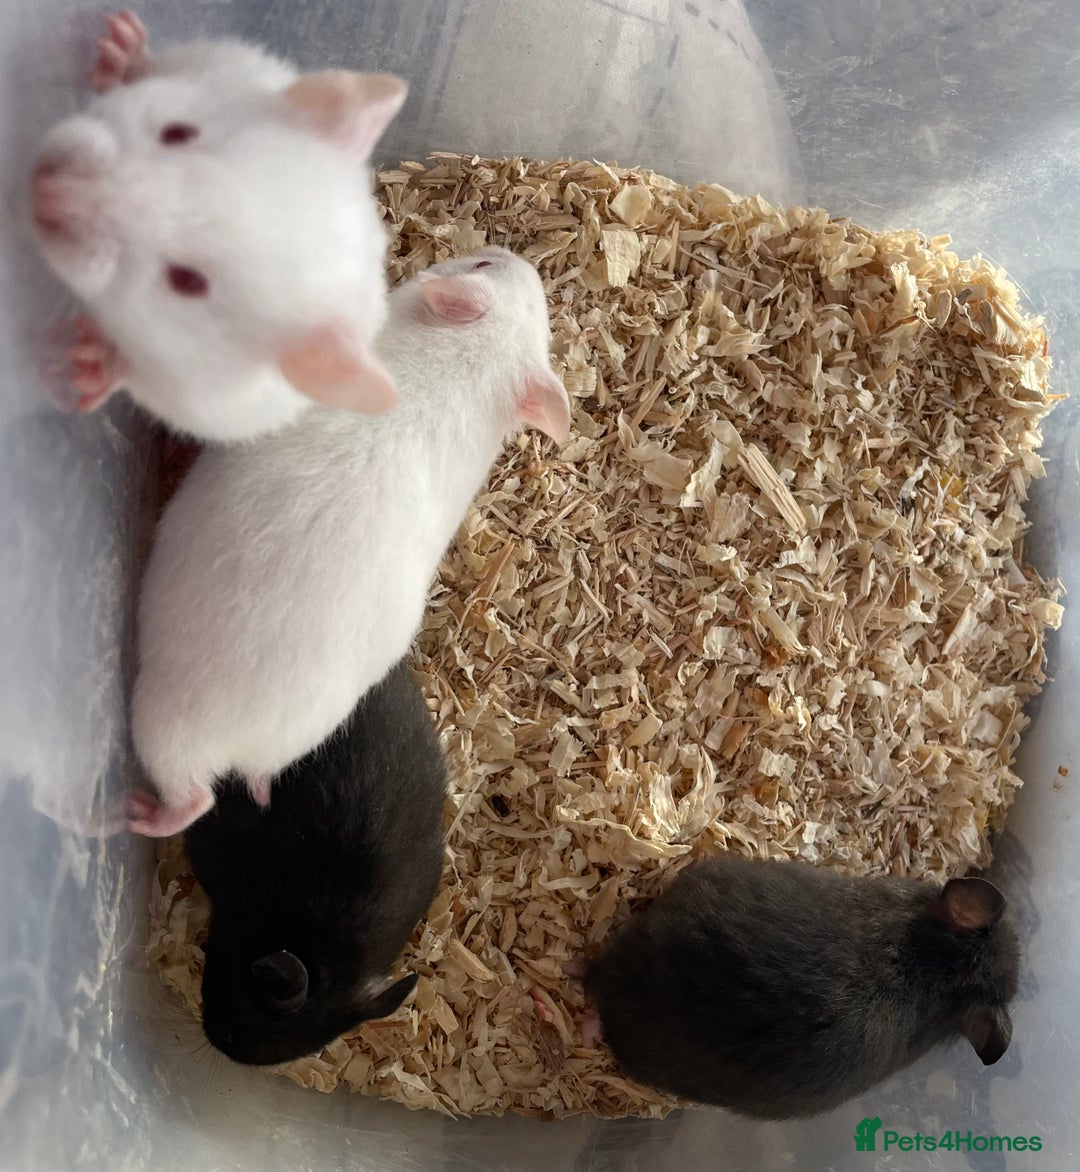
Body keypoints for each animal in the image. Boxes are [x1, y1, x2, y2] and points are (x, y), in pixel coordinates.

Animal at [30, 11, 407, 441]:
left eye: (187, 281)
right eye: (178, 132)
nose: (40, 187)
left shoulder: (183, 391)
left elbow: (129, 372)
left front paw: (84, 363)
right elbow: (150, 67)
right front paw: (120, 41)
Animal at [128, 245, 570, 837]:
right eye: (485, 265)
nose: (510, 253)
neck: (474, 367)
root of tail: (248, 758)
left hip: (159, 721)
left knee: (190, 797)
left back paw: (132, 812)